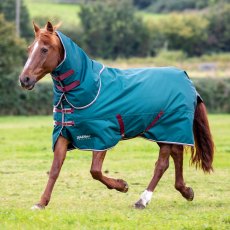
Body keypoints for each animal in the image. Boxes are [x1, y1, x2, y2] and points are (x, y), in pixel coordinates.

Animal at [18, 22, 215, 210]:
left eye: (44, 49)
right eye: (29, 48)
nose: (24, 79)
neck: (87, 88)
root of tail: (187, 79)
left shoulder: (101, 136)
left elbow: (95, 171)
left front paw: (122, 185)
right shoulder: (64, 133)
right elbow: (55, 169)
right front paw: (41, 203)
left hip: (168, 128)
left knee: (162, 164)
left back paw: (142, 200)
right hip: (165, 131)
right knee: (175, 155)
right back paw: (186, 191)